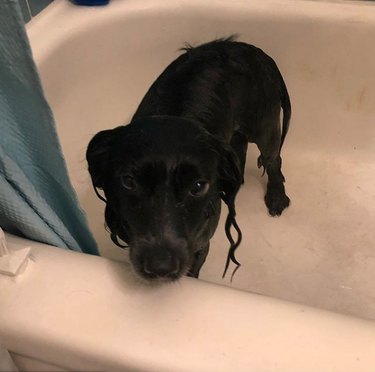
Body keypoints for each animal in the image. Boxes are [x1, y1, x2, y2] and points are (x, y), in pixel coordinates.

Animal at [86, 37, 292, 282]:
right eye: (128, 182)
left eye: (198, 187)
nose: (160, 266)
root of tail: (253, 49)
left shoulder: (199, 246)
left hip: (263, 126)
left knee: (273, 160)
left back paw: (277, 197)